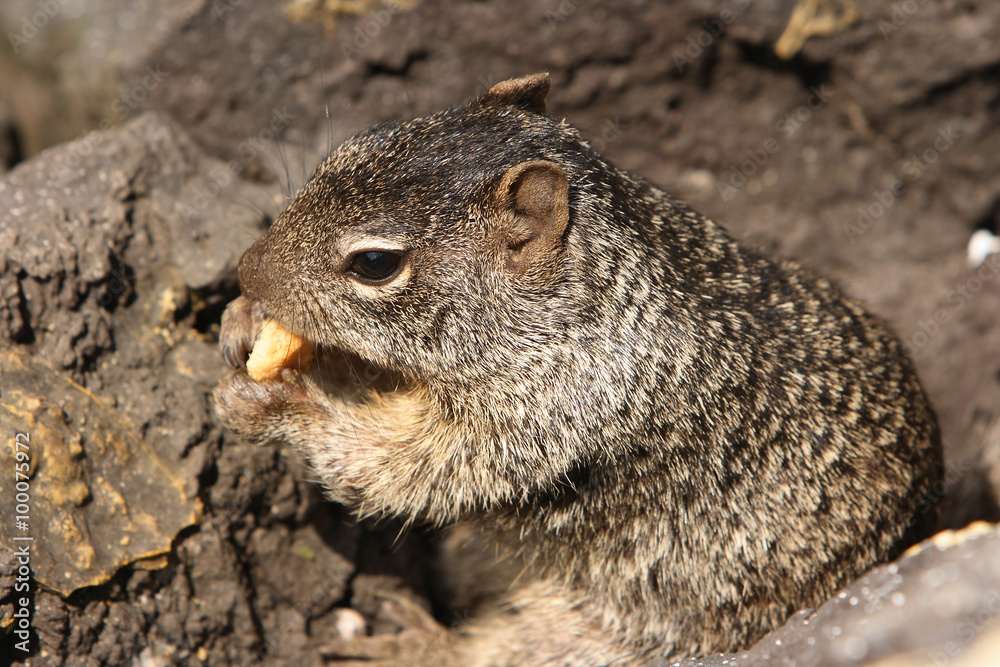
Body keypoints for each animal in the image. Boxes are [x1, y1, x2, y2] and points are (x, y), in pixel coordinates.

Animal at [214, 73, 943, 665]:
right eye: (347, 148)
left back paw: (415, 644)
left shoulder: (543, 418)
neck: (578, 304)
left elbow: (395, 468)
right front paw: (244, 322)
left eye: (374, 263)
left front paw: (282, 401)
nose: (246, 271)